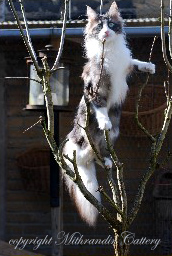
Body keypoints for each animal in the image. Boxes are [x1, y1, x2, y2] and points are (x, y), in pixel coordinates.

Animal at [62, 1, 155, 226]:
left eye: (111, 25)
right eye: (99, 27)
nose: (105, 32)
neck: (110, 51)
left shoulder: (124, 65)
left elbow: (134, 61)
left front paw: (148, 66)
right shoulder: (96, 87)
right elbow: (101, 107)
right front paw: (104, 120)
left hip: (112, 135)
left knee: (98, 154)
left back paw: (106, 160)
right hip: (82, 137)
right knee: (83, 154)